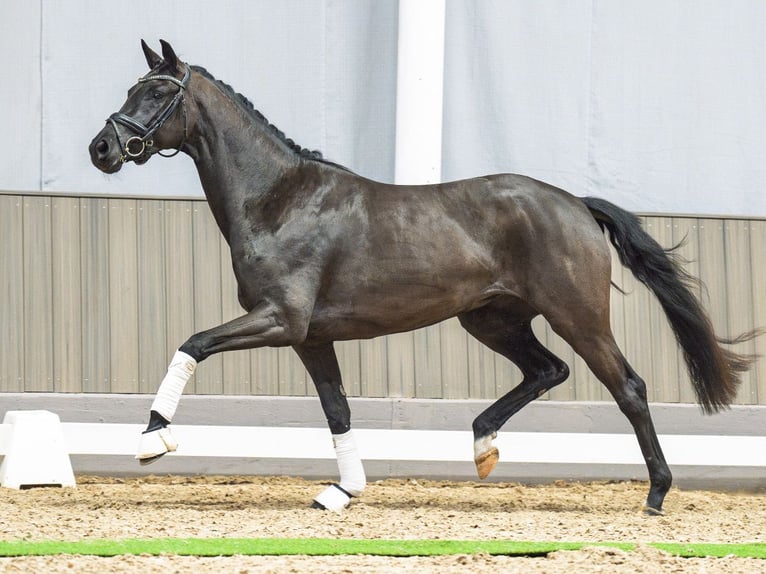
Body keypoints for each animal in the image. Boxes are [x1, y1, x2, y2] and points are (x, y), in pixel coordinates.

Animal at [90, 40, 756, 516]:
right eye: (131, 88)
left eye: (158, 92)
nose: (102, 148)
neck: (277, 200)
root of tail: (574, 204)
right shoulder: (311, 337)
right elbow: (337, 410)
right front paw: (342, 492)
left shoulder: (280, 320)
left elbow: (193, 343)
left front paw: (152, 439)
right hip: (491, 319)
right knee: (548, 371)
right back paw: (483, 446)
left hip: (577, 316)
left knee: (629, 389)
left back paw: (657, 494)